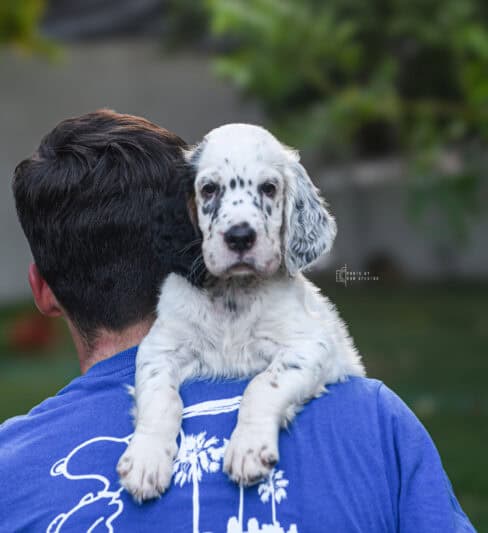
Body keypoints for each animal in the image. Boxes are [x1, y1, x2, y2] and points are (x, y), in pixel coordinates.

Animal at [116, 123, 364, 498]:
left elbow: (263, 386)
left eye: (269, 188)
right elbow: (160, 399)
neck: (234, 293)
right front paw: (145, 458)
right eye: (208, 189)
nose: (240, 237)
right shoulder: (159, 348)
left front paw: (248, 449)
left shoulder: (309, 345)